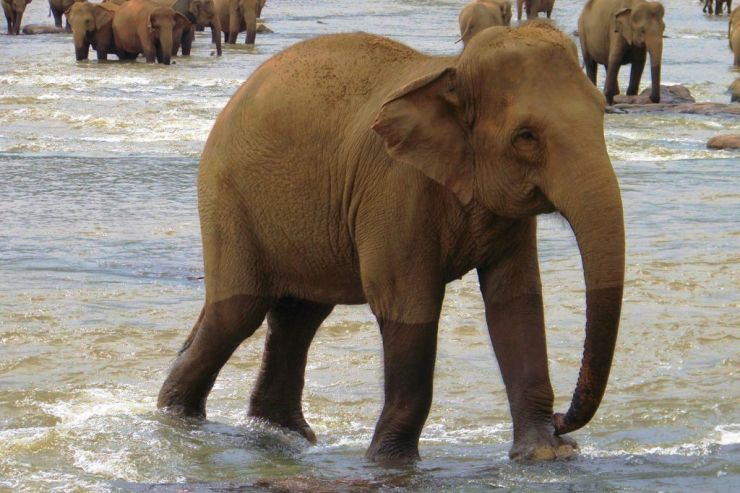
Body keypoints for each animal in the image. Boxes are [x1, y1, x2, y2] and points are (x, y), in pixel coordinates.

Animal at [157, 23, 625, 464]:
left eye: (602, 113)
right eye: (526, 136)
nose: (563, 420)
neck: (451, 72)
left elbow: (516, 301)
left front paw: (545, 454)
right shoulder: (395, 189)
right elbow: (406, 304)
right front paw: (391, 461)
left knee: (298, 316)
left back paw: (282, 433)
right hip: (229, 199)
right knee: (238, 311)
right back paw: (180, 419)